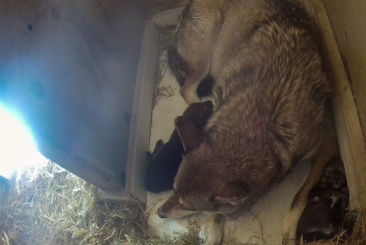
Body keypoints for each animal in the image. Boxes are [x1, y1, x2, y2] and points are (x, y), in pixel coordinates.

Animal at [157, 0, 338, 245]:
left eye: (187, 205)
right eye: (173, 189)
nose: (159, 213)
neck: (263, 124)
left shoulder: (326, 147)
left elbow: (297, 201)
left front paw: (289, 233)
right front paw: (212, 228)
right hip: (206, 55)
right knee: (186, 89)